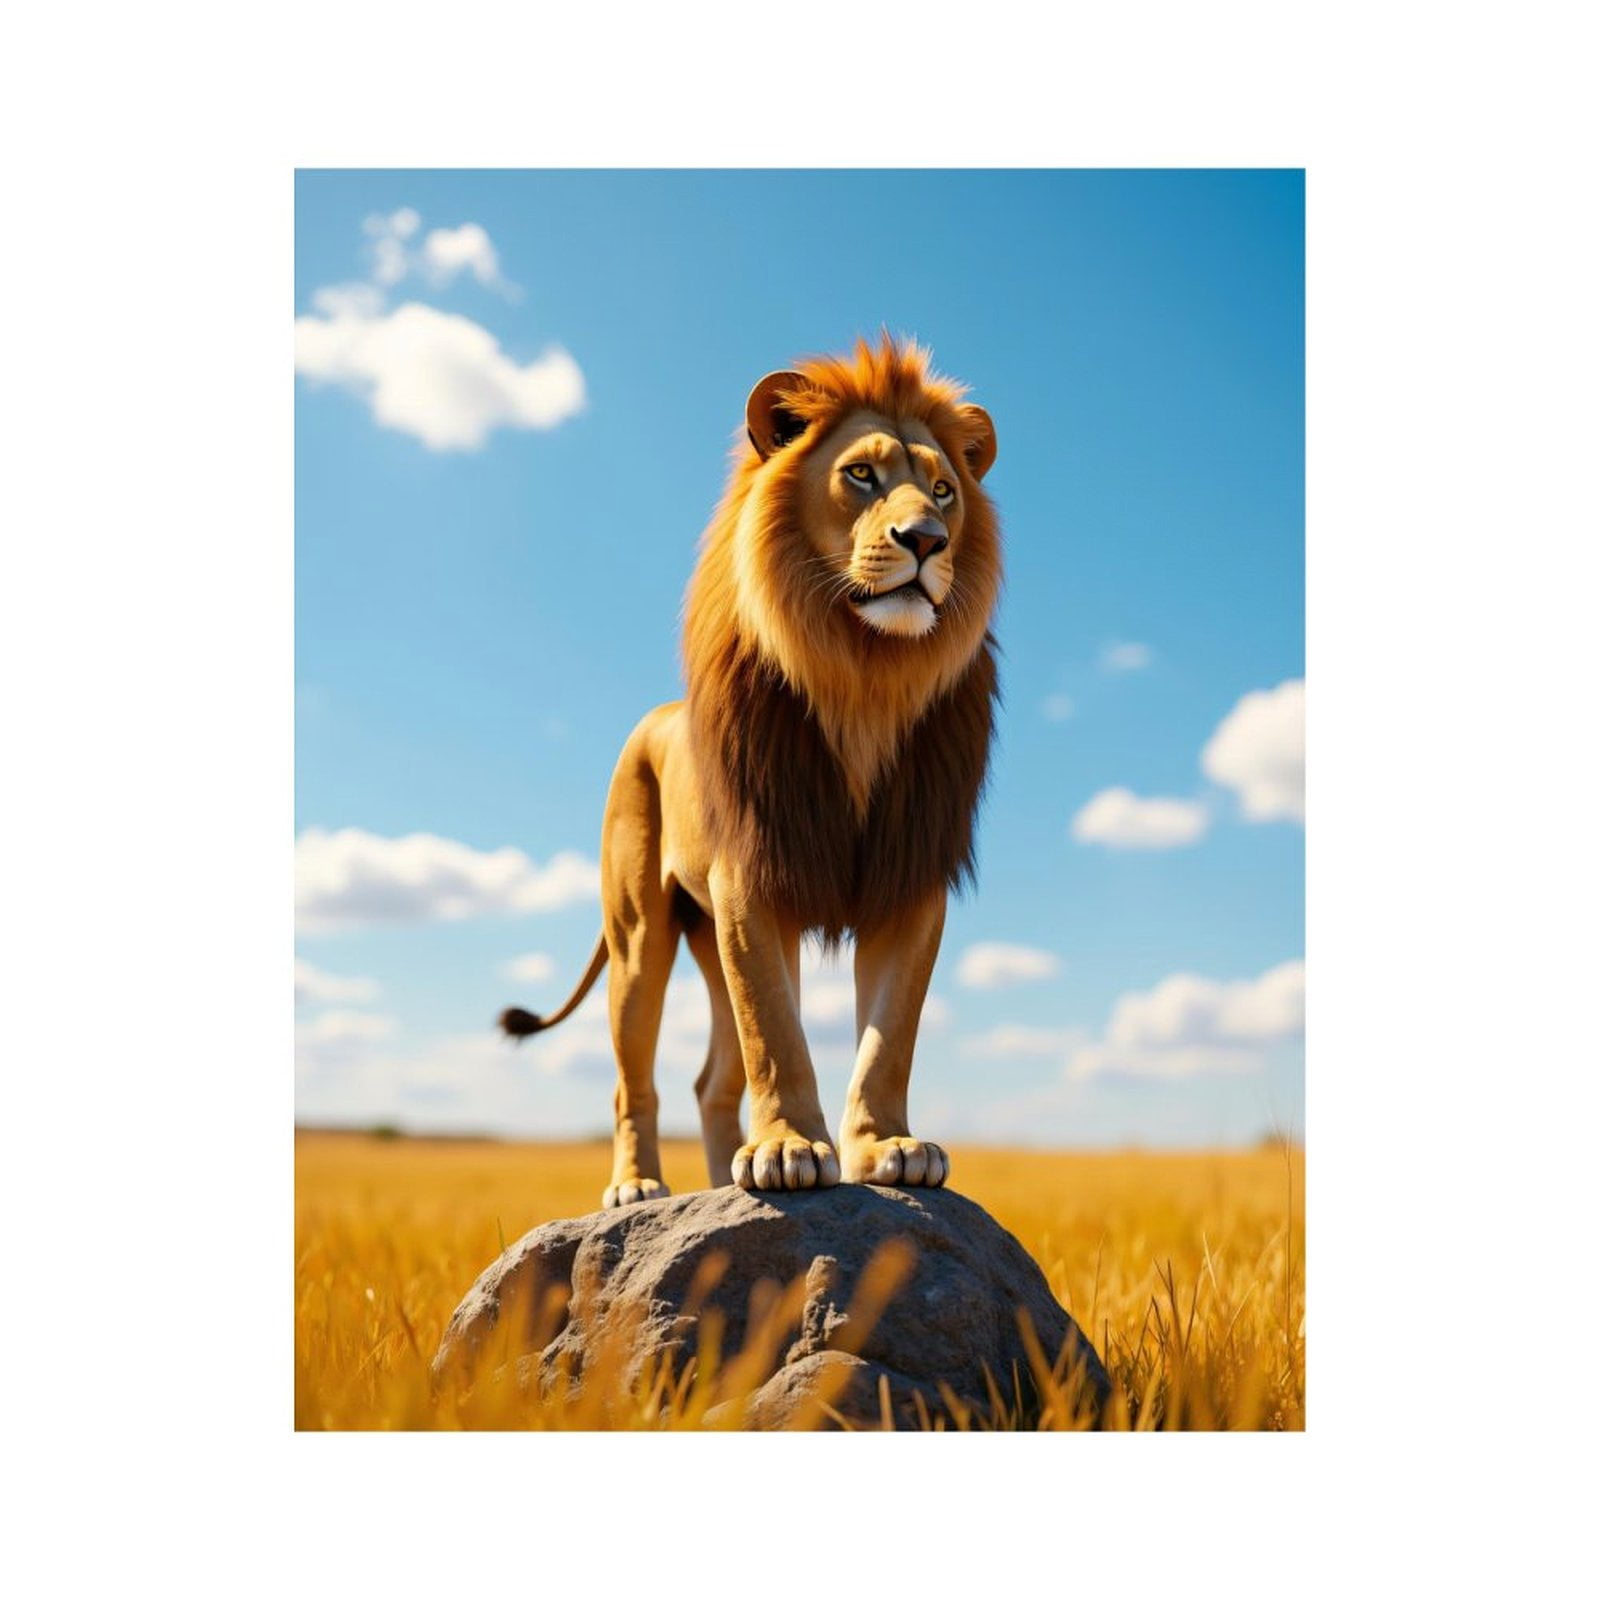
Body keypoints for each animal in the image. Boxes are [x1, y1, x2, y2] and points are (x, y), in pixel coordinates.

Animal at [500, 335, 1001, 1207]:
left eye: (944, 489)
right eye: (861, 474)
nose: (928, 540)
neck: (863, 682)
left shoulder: (911, 883)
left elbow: (889, 1037)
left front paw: (888, 1146)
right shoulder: (752, 877)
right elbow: (777, 1032)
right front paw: (789, 1149)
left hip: (710, 940)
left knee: (712, 1082)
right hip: (641, 938)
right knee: (635, 1077)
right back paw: (640, 1186)